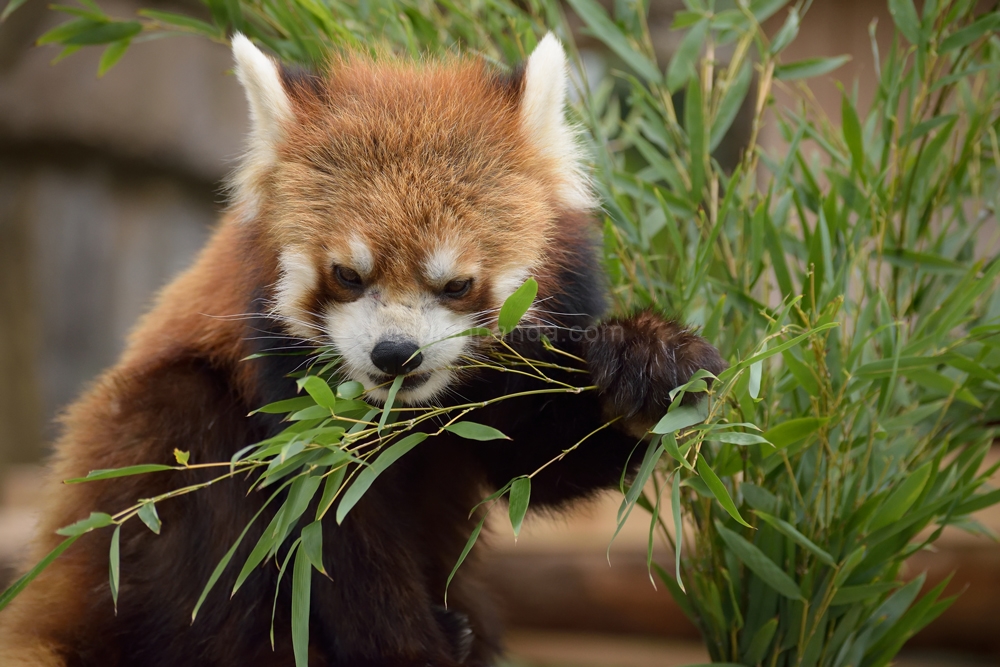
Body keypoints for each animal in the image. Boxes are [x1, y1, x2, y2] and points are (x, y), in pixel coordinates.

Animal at [0, 32, 720, 667]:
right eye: (348, 274)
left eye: (457, 284)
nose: (394, 355)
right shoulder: (290, 391)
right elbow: (333, 528)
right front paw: (409, 653)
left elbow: (539, 464)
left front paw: (651, 366)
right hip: (127, 496)